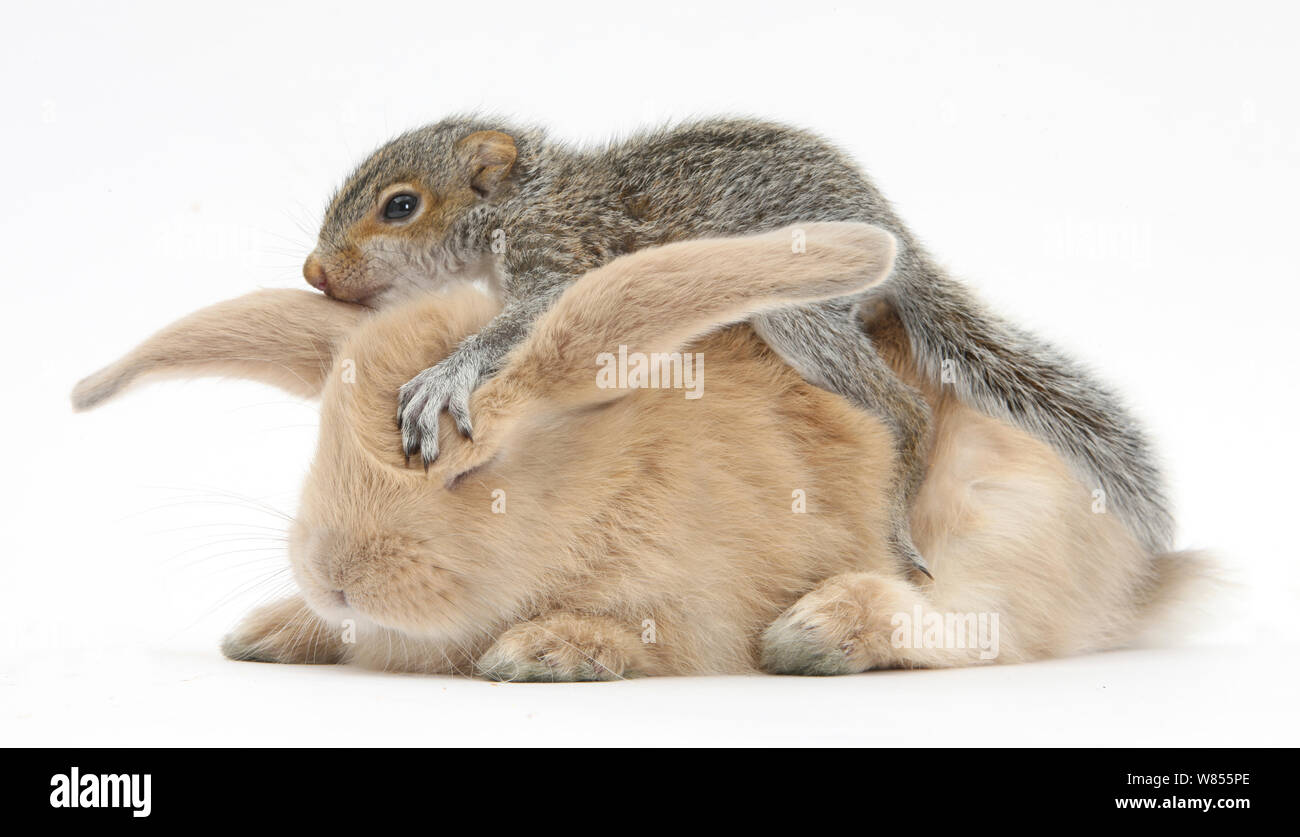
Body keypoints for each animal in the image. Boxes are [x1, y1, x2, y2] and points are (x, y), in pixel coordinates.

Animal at [306, 116, 1180, 574]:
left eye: (400, 206)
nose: (314, 271)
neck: (523, 203)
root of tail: (896, 237)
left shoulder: (567, 260)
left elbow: (526, 321)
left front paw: (442, 376)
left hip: (801, 314)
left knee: (906, 408)